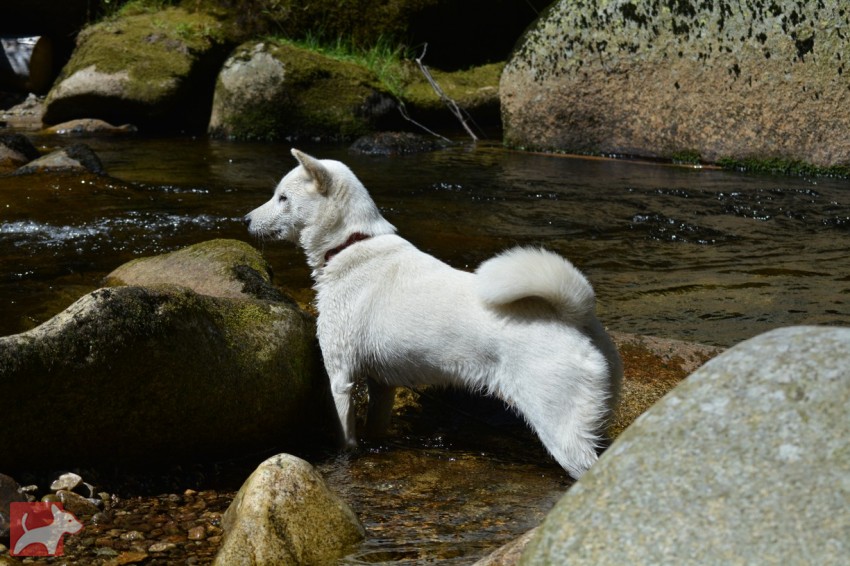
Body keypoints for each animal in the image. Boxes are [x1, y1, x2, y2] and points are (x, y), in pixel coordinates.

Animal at [247, 150, 624, 480]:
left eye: (282, 198)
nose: (245, 220)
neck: (351, 243)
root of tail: (575, 316)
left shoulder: (340, 377)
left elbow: (346, 440)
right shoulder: (382, 384)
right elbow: (374, 429)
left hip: (560, 428)